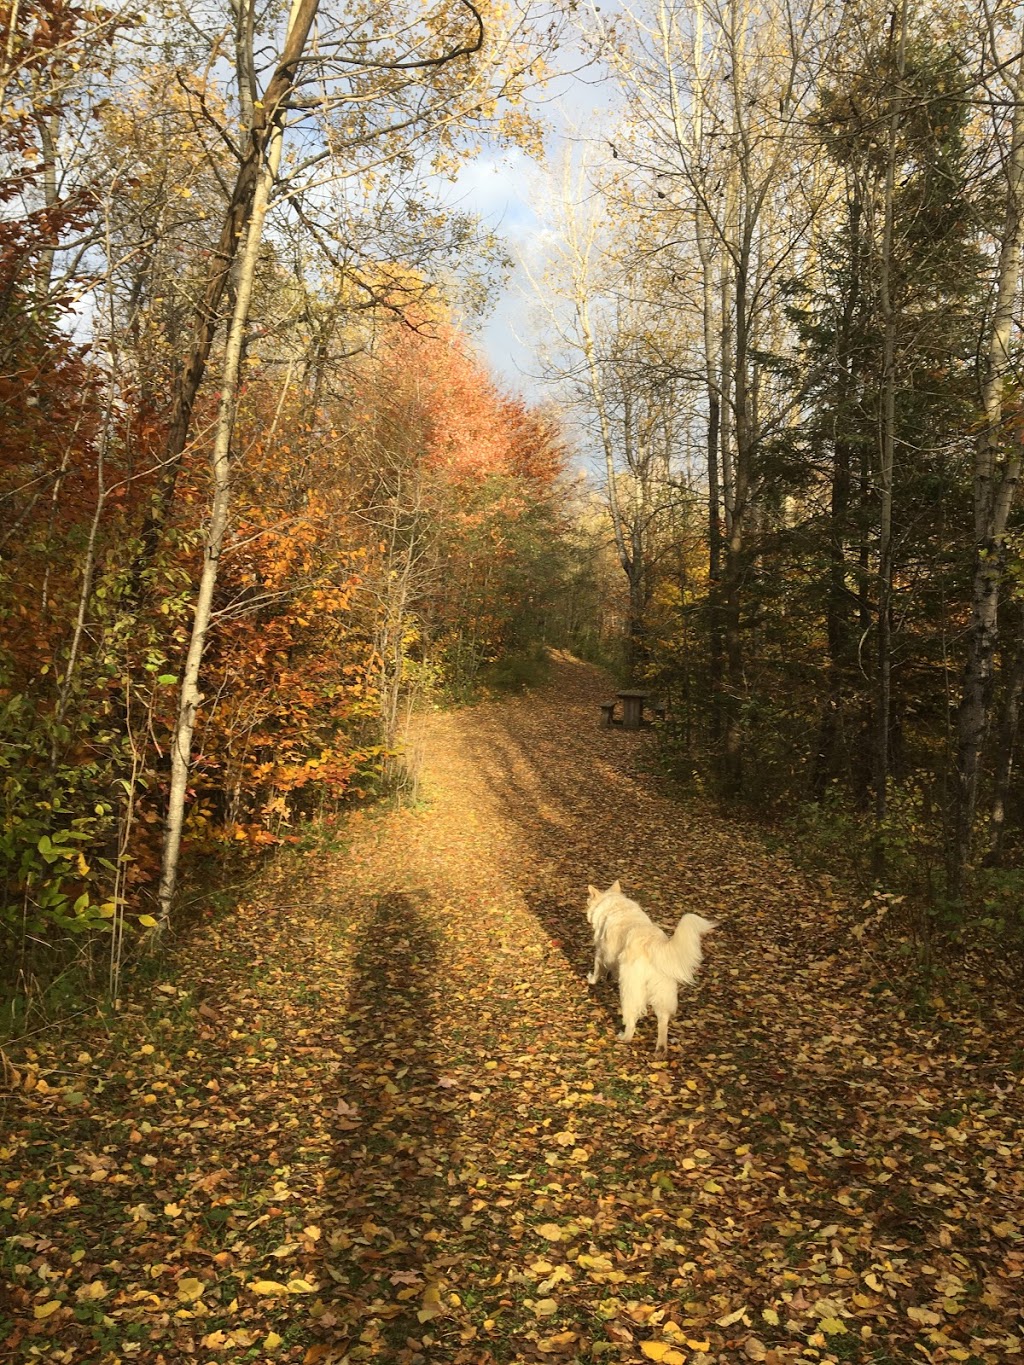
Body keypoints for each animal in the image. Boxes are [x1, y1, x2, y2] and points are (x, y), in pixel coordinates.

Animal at [589, 879, 715, 1059]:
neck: (615, 903)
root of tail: (653, 943)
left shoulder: (601, 951)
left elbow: (597, 968)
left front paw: (592, 979)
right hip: (663, 992)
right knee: (663, 1021)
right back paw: (661, 1049)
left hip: (630, 989)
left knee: (631, 1019)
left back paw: (624, 1037)